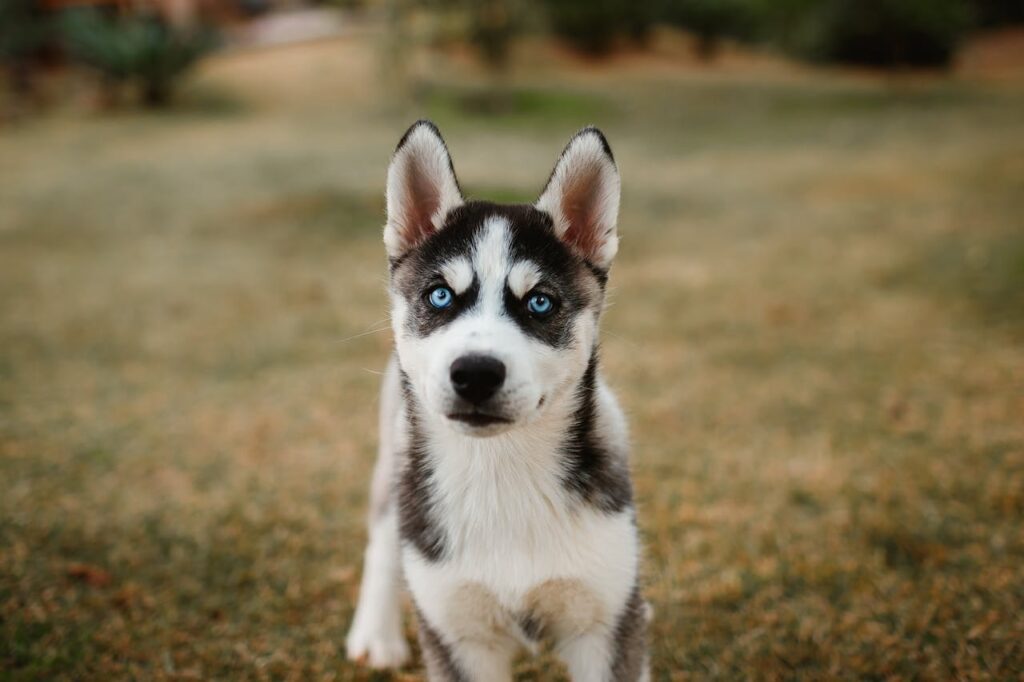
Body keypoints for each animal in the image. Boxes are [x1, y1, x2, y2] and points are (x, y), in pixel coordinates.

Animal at [344, 122, 647, 679]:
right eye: (440, 296)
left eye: (540, 302)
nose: (476, 373)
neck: (499, 470)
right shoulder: (459, 634)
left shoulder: (608, 621)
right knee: (383, 535)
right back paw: (376, 635)